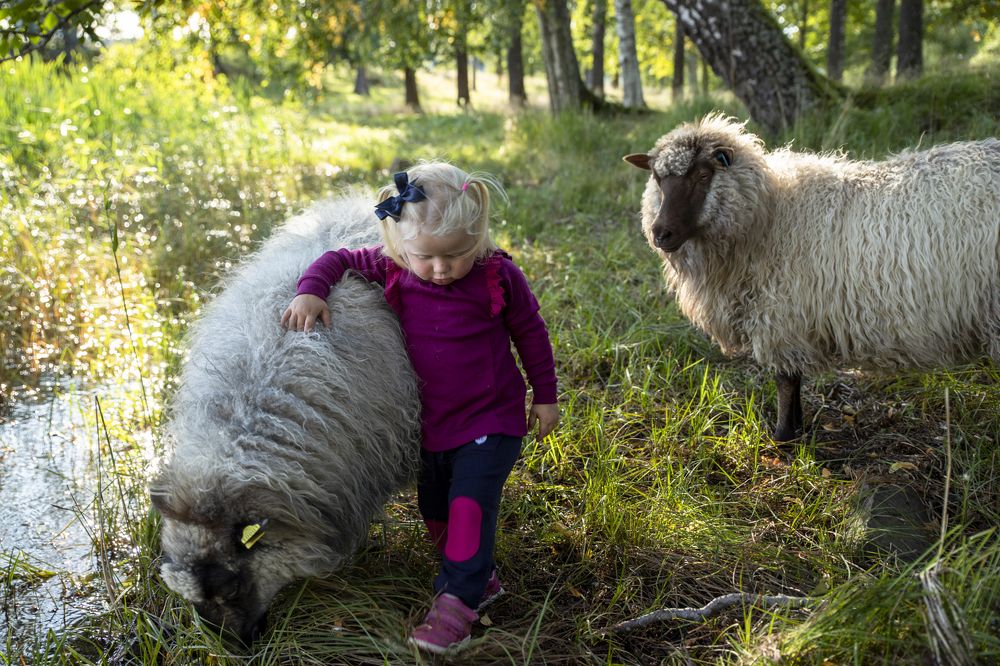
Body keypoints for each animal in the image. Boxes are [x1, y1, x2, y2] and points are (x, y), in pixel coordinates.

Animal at [624, 113, 1000, 441]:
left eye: (703, 176)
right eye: (658, 178)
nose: (660, 233)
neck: (769, 215)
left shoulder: (780, 317)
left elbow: (785, 381)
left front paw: (782, 437)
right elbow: (794, 380)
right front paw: (799, 430)